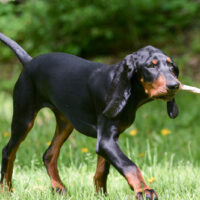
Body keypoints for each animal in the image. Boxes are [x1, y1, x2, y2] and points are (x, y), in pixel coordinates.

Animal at [0, 32, 180, 199]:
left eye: (171, 66)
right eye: (151, 66)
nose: (174, 85)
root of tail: (29, 61)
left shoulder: (108, 139)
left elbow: (102, 170)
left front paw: (102, 195)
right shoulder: (106, 140)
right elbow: (129, 165)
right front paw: (144, 190)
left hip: (66, 123)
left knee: (49, 154)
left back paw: (58, 187)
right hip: (24, 118)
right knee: (9, 151)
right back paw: (6, 190)